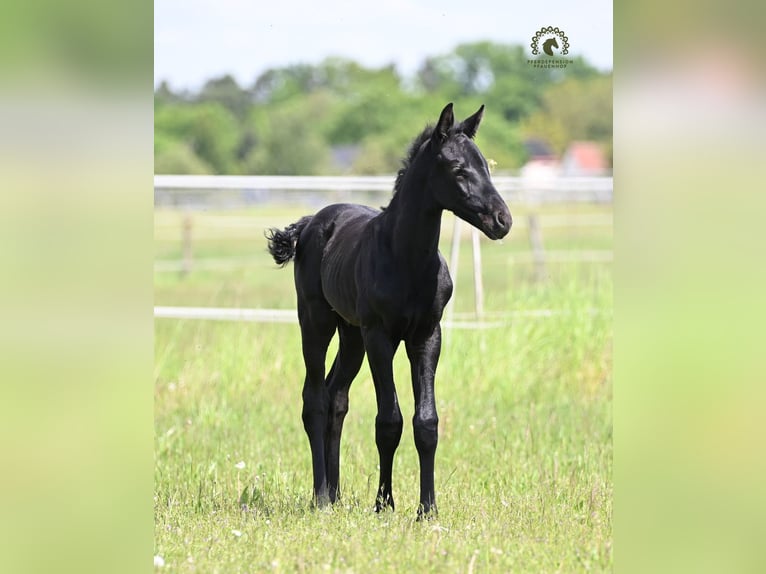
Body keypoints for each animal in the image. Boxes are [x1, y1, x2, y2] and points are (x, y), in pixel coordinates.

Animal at [266, 103, 512, 518]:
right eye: (457, 169)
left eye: (486, 166)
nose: (502, 220)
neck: (407, 259)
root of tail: (311, 223)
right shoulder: (380, 336)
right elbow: (389, 421)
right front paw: (384, 504)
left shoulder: (427, 335)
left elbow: (426, 422)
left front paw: (427, 509)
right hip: (317, 322)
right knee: (315, 399)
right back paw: (321, 497)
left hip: (351, 335)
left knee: (336, 397)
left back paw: (336, 493)